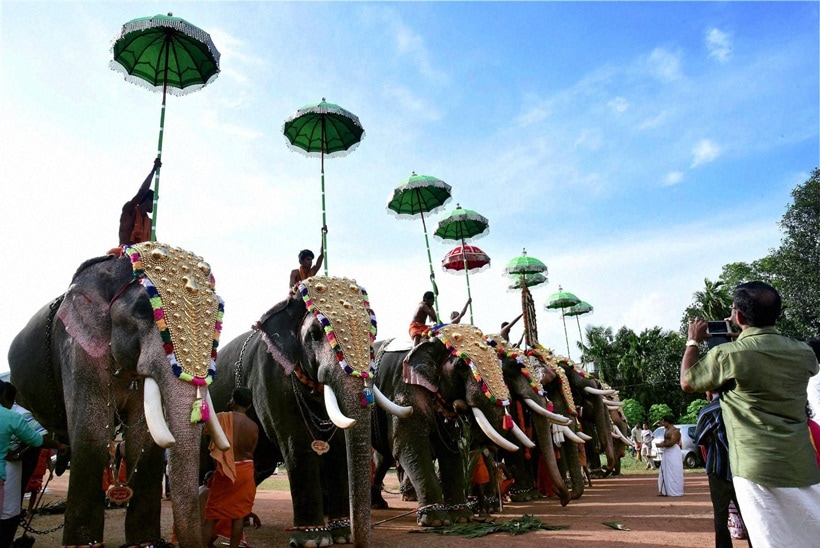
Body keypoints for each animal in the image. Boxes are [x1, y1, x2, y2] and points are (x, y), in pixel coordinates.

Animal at [8, 244, 229, 548]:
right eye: (141, 309)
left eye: (219, 313)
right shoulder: (79, 348)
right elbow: (91, 438)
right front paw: (83, 544)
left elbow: (144, 441)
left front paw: (145, 543)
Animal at [208, 278, 406, 548]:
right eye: (314, 334)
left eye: (372, 335)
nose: (358, 540)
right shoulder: (269, 376)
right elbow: (297, 443)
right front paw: (312, 540)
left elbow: (337, 448)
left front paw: (341, 536)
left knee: (261, 466)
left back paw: (244, 520)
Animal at [370, 326, 524, 528]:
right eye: (460, 365)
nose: (461, 406)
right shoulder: (403, 390)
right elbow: (410, 446)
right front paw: (437, 521)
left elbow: (451, 451)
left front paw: (463, 518)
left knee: (383, 458)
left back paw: (378, 504)